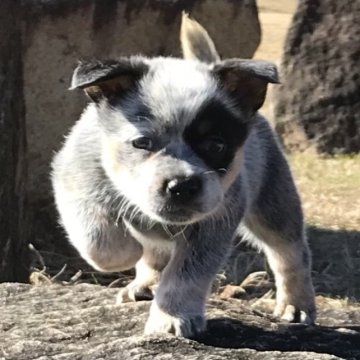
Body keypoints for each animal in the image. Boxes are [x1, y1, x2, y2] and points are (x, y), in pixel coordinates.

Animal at [50, 11, 316, 338]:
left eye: (216, 145)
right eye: (143, 142)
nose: (182, 185)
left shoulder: (214, 222)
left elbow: (187, 275)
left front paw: (172, 316)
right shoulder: (73, 181)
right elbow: (100, 242)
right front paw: (130, 249)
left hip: (274, 203)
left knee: (289, 253)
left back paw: (296, 306)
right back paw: (145, 282)